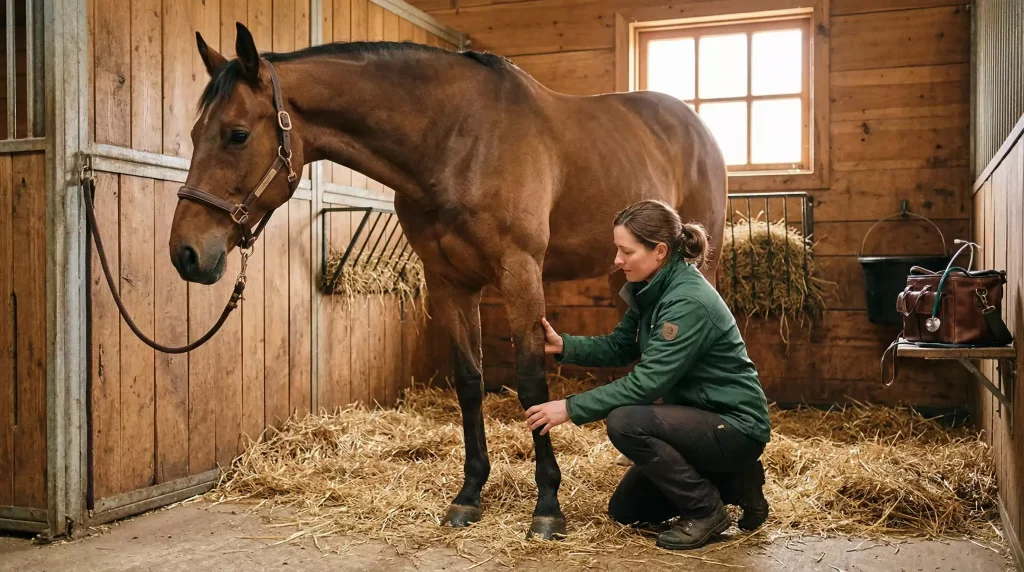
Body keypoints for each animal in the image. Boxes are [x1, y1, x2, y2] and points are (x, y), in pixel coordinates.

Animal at [169, 22, 727, 540]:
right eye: (195, 135)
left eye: (237, 134)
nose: (186, 254)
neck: (458, 140)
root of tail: (697, 128)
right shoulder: (450, 283)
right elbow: (468, 382)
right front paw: (469, 494)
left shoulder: (519, 272)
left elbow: (532, 387)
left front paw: (548, 506)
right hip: (621, 274)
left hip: (699, 260)